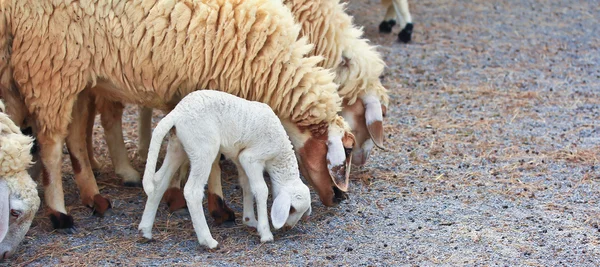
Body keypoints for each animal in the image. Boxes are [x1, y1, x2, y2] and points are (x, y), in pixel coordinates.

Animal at [0, 0, 354, 230]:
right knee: (50, 143)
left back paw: (93, 196)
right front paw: (217, 205)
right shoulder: (208, 92)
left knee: (73, 135)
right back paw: (60, 213)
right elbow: (211, 161)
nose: (340, 198)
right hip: (51, 66)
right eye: (344, 151)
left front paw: (180, 194)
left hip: (79, 75)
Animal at [138, 91, 312, 250]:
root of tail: (177, 113)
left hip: (178, 146)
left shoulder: (240, 159)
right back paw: (208, 241)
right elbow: (261, 190)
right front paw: (265, 233)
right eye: (292, 209)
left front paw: (250, 220)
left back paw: (145, 230)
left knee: (159, 182)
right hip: (203, 148)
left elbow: (247, 186)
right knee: (192, 192)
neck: (279, 155)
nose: (287, 228)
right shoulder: (252, 158)